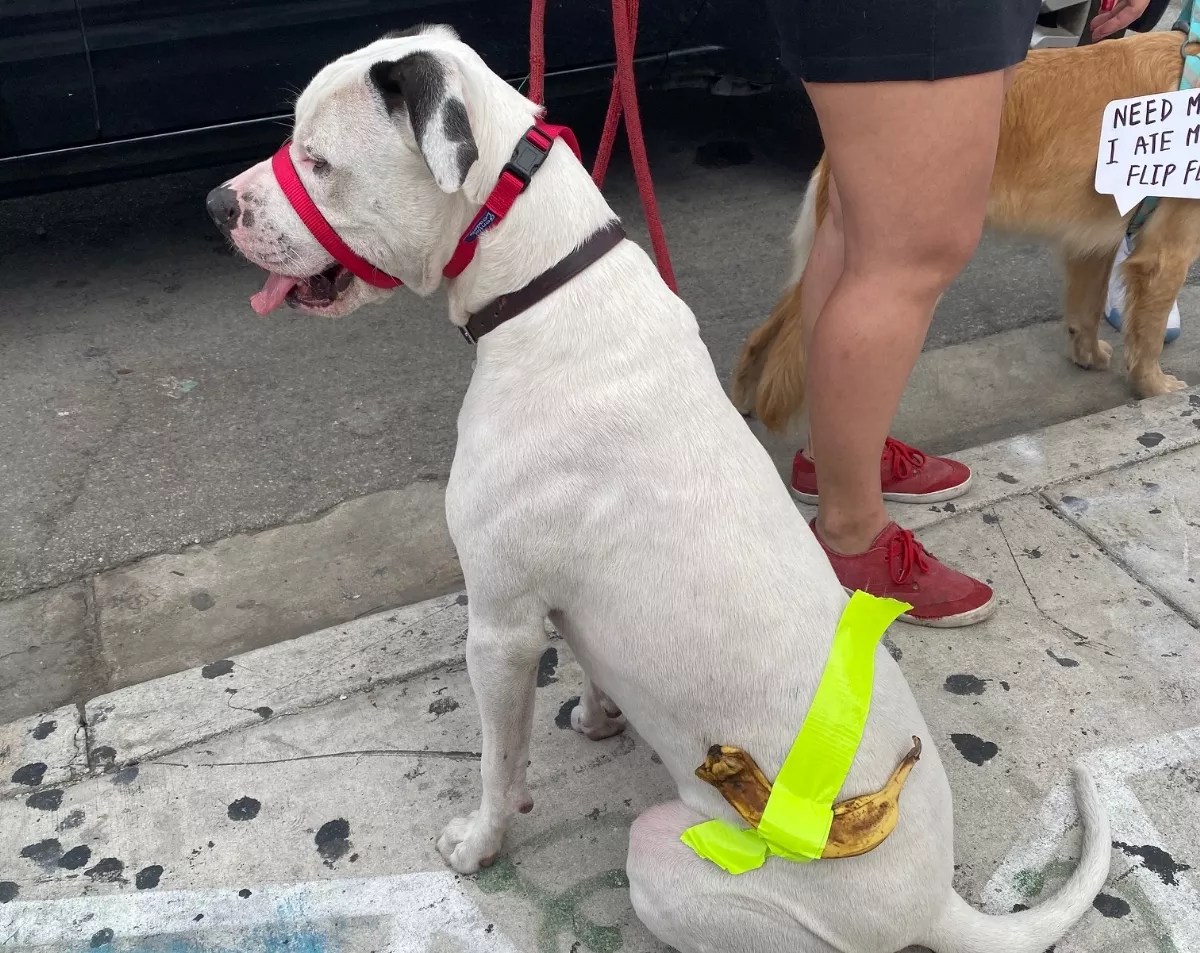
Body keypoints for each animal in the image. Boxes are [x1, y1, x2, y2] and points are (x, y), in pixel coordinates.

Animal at [207, 25, 1111, 953]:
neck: (545, 282)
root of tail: (936, 900)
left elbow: (500, 760)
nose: (216, 205)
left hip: (667, 858)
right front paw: (597, 712)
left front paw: (480, 840)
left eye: (318, 162)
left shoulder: (499, 625)